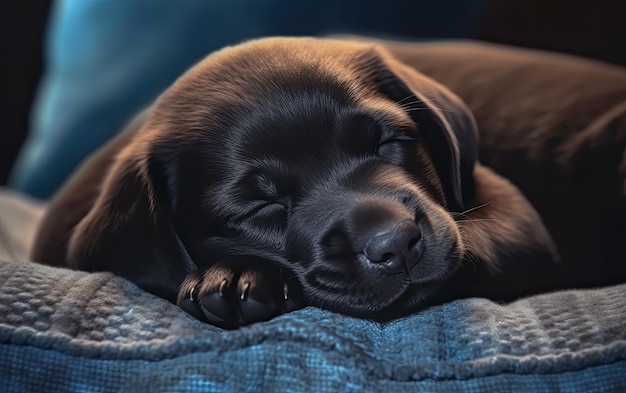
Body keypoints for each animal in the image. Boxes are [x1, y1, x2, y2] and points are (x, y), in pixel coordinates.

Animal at [30, 37, 624, 328]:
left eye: (386, 142)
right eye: (259, 207)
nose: (395, 245)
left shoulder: (514, 216)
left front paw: (239, 274)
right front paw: (236, 274)